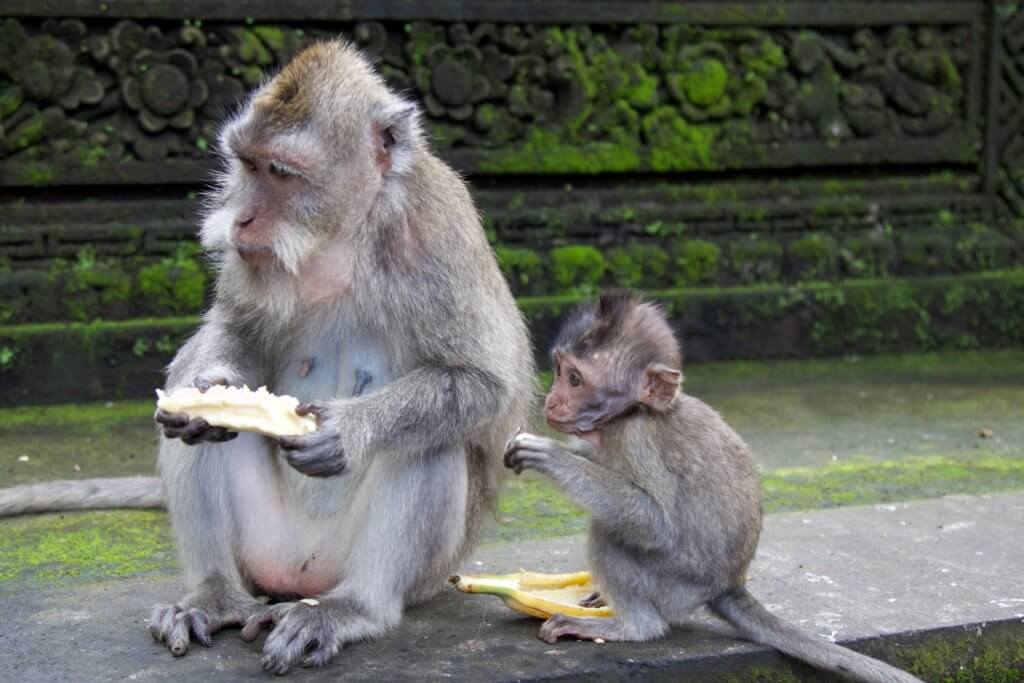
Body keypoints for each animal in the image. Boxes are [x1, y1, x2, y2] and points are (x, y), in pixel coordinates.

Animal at [132, 40, 534, 674]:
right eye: (247, 165)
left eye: (281, 172)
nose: (242, 217)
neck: (342, 236)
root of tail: (301, 577)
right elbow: (233, 328)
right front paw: (207, 391)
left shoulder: (436, 231)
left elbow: (486, 383)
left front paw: (348, 430)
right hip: (266, 547)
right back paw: (213, 596)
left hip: (417, 573)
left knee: (431, 440)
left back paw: (353, 609)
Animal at [503, 292, 921, 683]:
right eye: (559, 370)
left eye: (575, 380)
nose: (552, 400)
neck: (631, 414)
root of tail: (727, 585)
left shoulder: (636, 438)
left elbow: (654, 523)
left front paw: (550, 455)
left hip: (678, 581)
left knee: (611, 535)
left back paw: (633, 627)